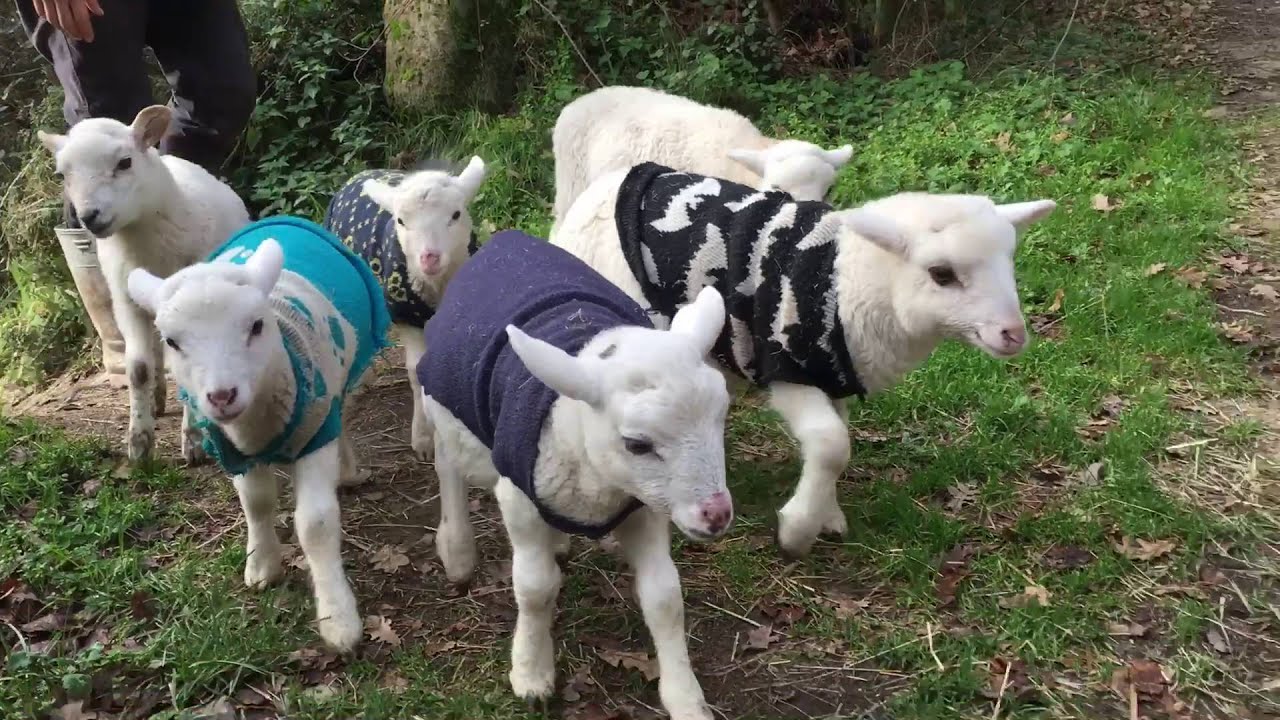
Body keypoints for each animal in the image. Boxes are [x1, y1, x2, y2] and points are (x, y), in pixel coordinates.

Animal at [38, 105, 251, 463]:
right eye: (62, 175)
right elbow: (138, 369)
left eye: (124, 162)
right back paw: (157, 399)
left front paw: (193, 442)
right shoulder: (125, 301)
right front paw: (139, 443)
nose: (90, 217)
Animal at [126, 216, 392, 651]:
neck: (257, 425)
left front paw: (338, 620)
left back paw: (348, 469)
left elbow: (315, 524)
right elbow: (256, 502)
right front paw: (263, 564)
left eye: (256, 325)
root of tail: (280, 220)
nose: (222, 396)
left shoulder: (316, 432)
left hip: (346, 372)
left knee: (343, 415)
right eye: (171, 342)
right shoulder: (234, 451)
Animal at [323, 156, 487, 461]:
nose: (429, 258)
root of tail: (362, 173)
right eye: (401, 221)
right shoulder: (405, 316)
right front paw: (423, 439)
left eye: (456, 214)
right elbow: (414, 370)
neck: (436, 287)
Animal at [418, 230, 733, 720]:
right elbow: (534, 588)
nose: (716, 514)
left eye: (723, 415)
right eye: (637, 444)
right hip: (446, 408)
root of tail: (505, 240)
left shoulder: (644, 505)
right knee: (448, 466)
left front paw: (685, 697)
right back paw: (458, 551)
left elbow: (664, 598)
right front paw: (531, 673)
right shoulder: (519, 500)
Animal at [553, 161, 1056, 558]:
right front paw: (797, 529)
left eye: (1009, 261)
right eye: (941, 274)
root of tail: (595, 195)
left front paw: (826, 513)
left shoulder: (833, 372)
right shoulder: (784, 364)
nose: (1014, 334)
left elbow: (836, 437)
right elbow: (832, 443)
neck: (845, 283)